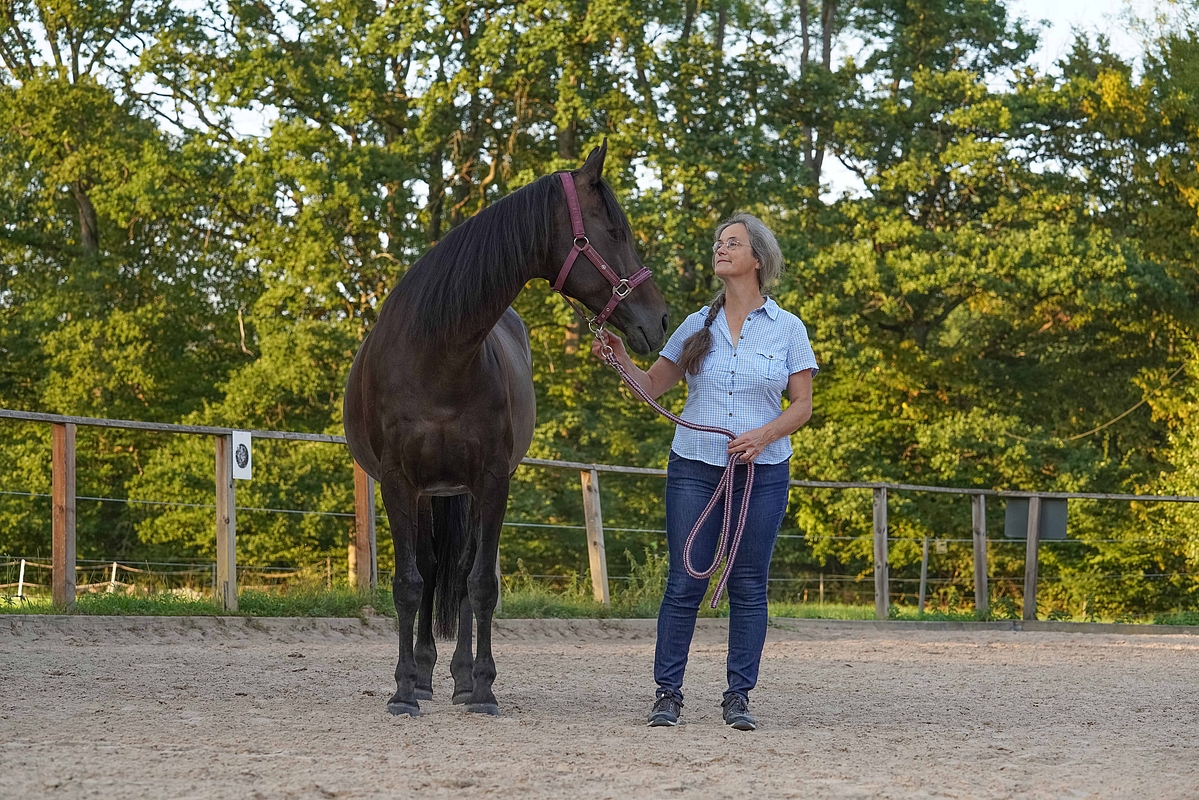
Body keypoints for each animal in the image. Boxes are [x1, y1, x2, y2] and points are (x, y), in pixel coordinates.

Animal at [343, 143, 669, 716]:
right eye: (613, 232)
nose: (661, 319)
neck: (438, 358)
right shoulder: (398, 483)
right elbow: (409, 584)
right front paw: (403, 689)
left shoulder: (492, 481)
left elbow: (481, 585)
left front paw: (482, 687)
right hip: (430, 494)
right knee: (432, 568)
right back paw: (425, 675)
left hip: (462, 491)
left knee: (462, 571)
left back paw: (458, 677)